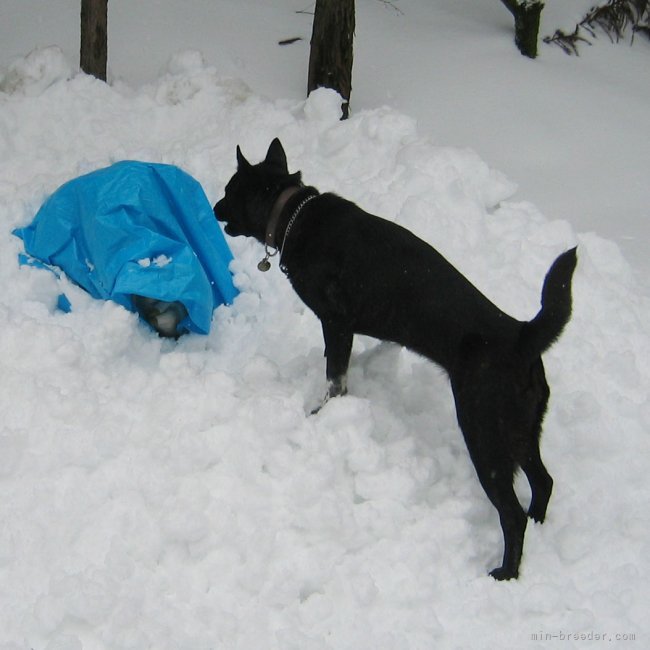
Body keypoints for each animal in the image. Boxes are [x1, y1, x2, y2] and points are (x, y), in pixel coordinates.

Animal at [215, 137, 576, 576]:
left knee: (512, 513)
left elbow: (335, 377)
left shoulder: (336, 322)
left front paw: (322, 413)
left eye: (230, 189)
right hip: (521, 431)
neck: (293, 213)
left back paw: (505, 573)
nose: (214, 208)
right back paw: (540, 525)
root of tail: (521, 334)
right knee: (544, 482)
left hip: (485, 434)